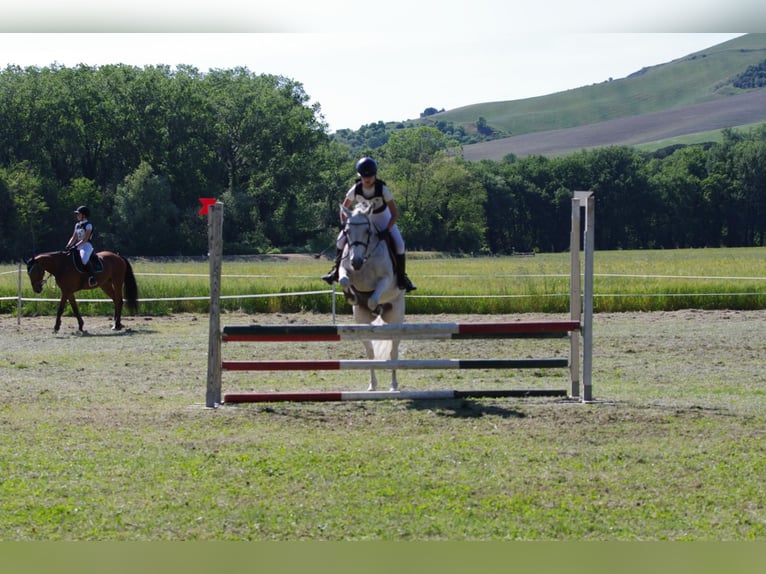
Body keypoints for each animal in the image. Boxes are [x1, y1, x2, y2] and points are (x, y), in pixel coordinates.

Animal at [338, 202, 404, 392]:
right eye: (347, 231)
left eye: (367, 231)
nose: (356, 261)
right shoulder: (345, 270)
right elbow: (344, 279)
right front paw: (351, 296)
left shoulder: (386, 280)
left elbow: (373, 298)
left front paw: (376, 307)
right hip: (361, 322)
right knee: (370, 352)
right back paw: (372, 385)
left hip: (396, 319)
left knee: (393, 352)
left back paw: (393, 386)